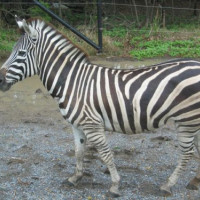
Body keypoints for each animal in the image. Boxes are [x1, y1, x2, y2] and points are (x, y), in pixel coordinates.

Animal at [0, 16, 200, 198]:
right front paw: (75, 178)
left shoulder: (92, 124)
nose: (0, 81)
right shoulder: (76, 124)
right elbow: (78, 152)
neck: (71, 82)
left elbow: (105, 154)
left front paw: (115, 186)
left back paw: (167, 185)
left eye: (21, 54)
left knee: (187, 153)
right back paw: (194, 181)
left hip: (186, 120)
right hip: (194, 120)